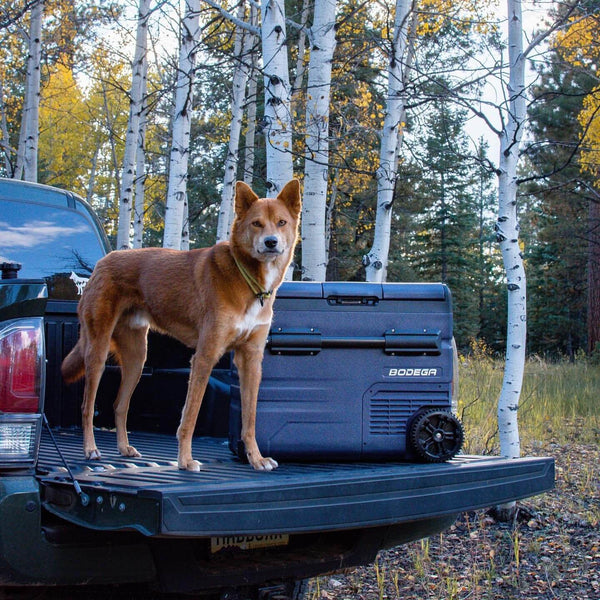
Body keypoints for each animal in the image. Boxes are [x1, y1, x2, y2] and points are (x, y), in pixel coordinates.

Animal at [62, 180, 300, 472]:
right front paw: (185, 460)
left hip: (137, 358)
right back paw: (91, 450)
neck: (247, 279)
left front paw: (256, 459)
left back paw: (124, 448)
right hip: (97, 351)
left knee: (120, 405)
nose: (271, 242)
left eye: (281, 222)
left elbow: (250, 419)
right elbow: (190, 416)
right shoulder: (205, 356)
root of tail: (101, 263)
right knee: (87, 406)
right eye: (256, 224)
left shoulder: (251, 360)